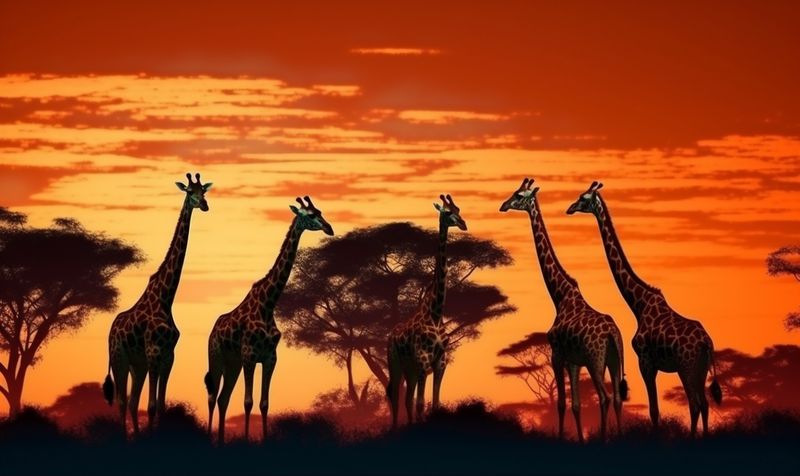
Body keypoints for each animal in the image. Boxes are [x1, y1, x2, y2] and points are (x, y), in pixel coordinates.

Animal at [103, 172, 212, 434]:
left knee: (132, 401)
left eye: (204, 191)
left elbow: (160, 405)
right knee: (122, 401)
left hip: (138, 364)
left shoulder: (168, 355)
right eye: (190, 192)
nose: (204, 205)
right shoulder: (154, 352)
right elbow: (151, 406)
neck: (166, 297)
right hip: (120, 359)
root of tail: (111, 331)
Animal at [205, 196, 333, 443]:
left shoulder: (270, 358)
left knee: (223, 398)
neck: (268, 304)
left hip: (233, 363)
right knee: (212, 396)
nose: (329, 228)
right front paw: (246, 440)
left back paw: (222, 441)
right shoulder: (249, 355)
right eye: (310, 215)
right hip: (217, 358)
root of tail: (213, 331)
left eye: (321, 211)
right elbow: (248, 402)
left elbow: (264, 404)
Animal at [386, 194, 467, 429]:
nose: (463, 223)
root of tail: (389, 335)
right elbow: (421, 403)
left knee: (406, 398)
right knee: (395, 396)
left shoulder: (440, 363)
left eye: (459, 209)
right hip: (395, 363)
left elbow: (434, 403)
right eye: (447, 212)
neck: (436, 313)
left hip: (410, 369)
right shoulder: (423, 361)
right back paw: (394, 428)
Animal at [500, 178, 628, 442]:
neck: (560, 297)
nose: (503, 205)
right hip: (613, 360)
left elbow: (560, 404)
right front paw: (579, 438)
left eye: (518, 195)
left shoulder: (557, 356)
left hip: (596, 360)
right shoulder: (574, 361)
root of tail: (613, 334)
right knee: (618, 398)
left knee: (605, 397)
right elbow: (576, 405)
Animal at [566, 181, 722, 436]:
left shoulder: (646, 362)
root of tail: (707, 343)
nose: (569, 208)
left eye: (583, 198)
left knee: (695, 403)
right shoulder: (652, 365)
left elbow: (654, 410)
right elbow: (655, 409)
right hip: (699, 370)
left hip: (686, 367)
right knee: (705, 404)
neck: (638, 304)